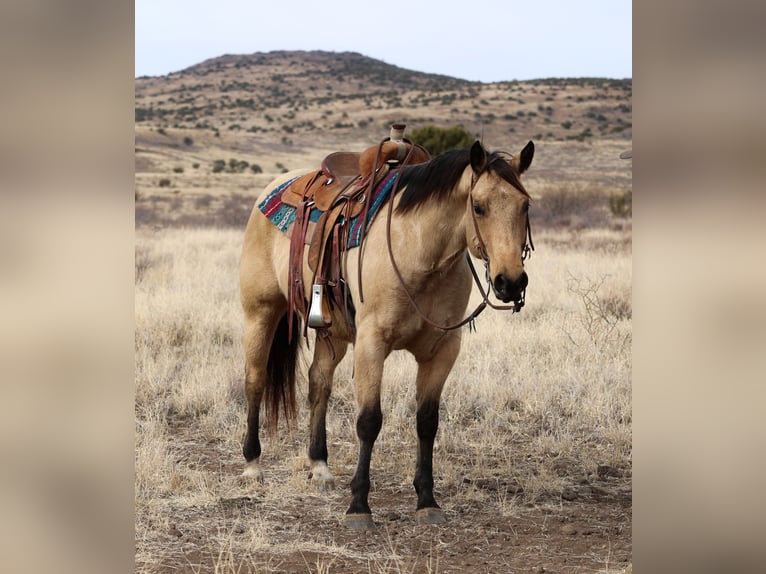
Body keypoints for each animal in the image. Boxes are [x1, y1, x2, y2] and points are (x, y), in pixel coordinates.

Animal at [238, 136, 536, 532]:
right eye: (479, 206)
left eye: (525, 205)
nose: (510, 282)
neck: (422, 253)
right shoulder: (372, 344)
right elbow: (369, 421)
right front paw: (359, 506)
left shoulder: (442, 350)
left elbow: (427, 422)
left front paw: (427, 501)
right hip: (261, 312)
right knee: (255, 381)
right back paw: (252, 465)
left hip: (333, 334)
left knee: (319, 383)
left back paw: (320, 466)